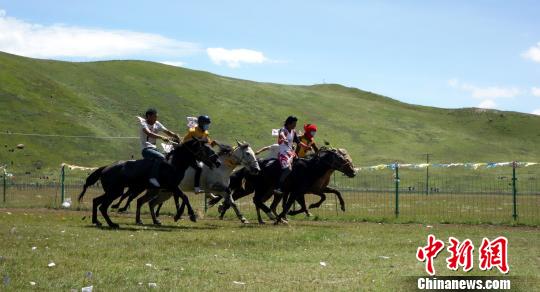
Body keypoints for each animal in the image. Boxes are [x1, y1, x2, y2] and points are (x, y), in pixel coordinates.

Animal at [77, 138, 219, 229]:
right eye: (205, 149)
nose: (217, 161)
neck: (173, 165)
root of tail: (105, 168)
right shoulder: (171, 186)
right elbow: (184, 197)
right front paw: (191, 215)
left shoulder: (172, 188)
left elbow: (182, 199)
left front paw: (179, 215)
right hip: (115, 192)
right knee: (103, 206)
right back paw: (112, 223)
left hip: (115, 191)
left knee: (96, 201)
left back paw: (98, 221)